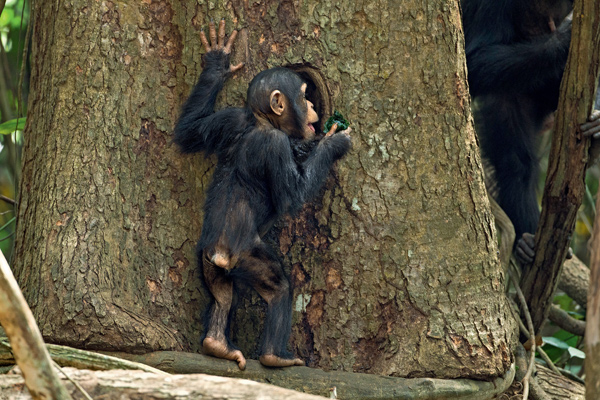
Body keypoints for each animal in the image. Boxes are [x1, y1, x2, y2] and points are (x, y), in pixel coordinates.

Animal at [173, 19, 352, 368]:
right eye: (304, 96)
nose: (313, 106)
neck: (259, 122)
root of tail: (219, 253)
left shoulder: (226, 118)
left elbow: (189, 131)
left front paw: (217, 62)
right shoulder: (276, 145)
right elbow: (293, 196)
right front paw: (332, 142)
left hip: (209, 263)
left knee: (223, 295)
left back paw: (217, 344)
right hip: (247, 257)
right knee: (278, 288)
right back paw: (275, 356)